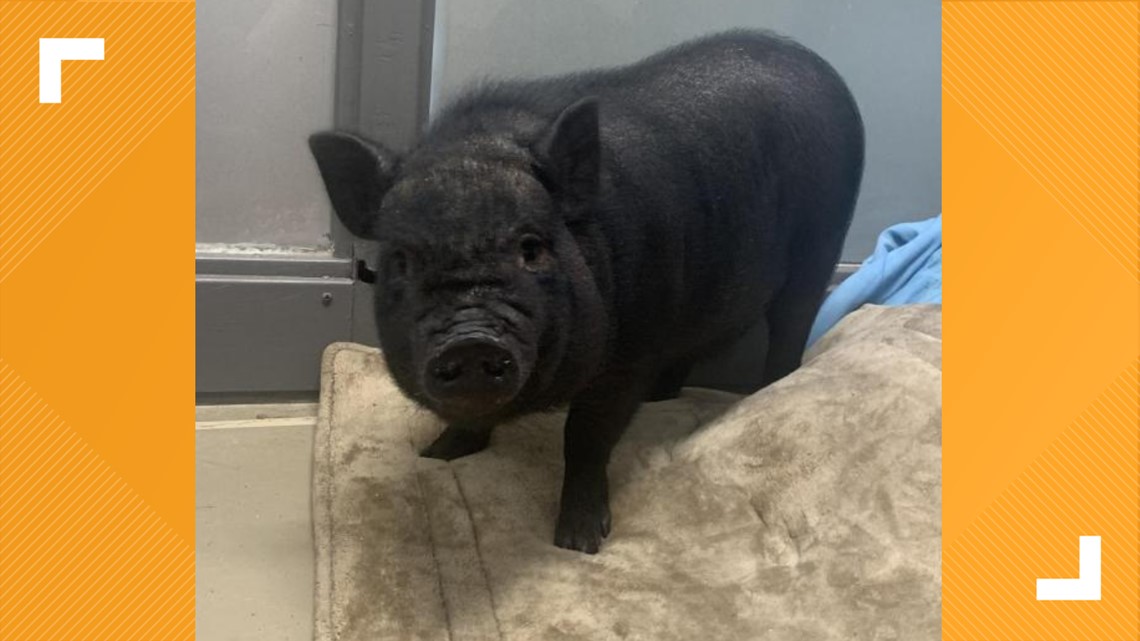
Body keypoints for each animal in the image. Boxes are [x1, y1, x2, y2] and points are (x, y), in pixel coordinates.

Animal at [308, 29, 863, 553]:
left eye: (532, 248)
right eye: (402, 260)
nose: (469, 339)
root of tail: (817, 66)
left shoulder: (628, 354)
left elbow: (587, 437)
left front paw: (579, 543)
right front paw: (437, 455)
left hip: (821, 245)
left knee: (792, 324)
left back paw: (768, 389)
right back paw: (661, 398)